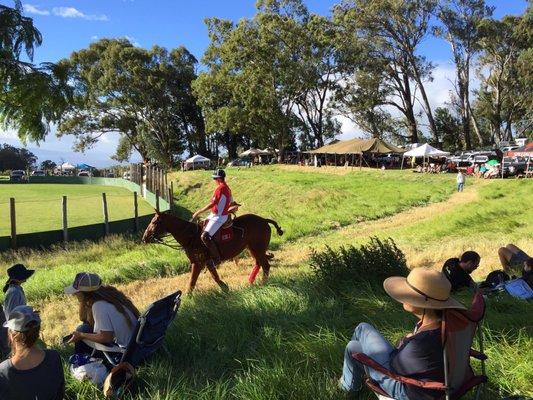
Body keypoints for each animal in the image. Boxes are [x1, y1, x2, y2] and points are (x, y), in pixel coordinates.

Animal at [141, 212, 282, 294]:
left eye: (154, 222)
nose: (144, 238)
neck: (191, 236)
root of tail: (264, 220)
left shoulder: (199, 262)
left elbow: (195, 281)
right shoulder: (203, 262)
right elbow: (204, 279)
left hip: (257, 249)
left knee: (265, 266)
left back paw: (262, 284)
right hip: (253, 249)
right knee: (260, 264)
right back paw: (252, 282)